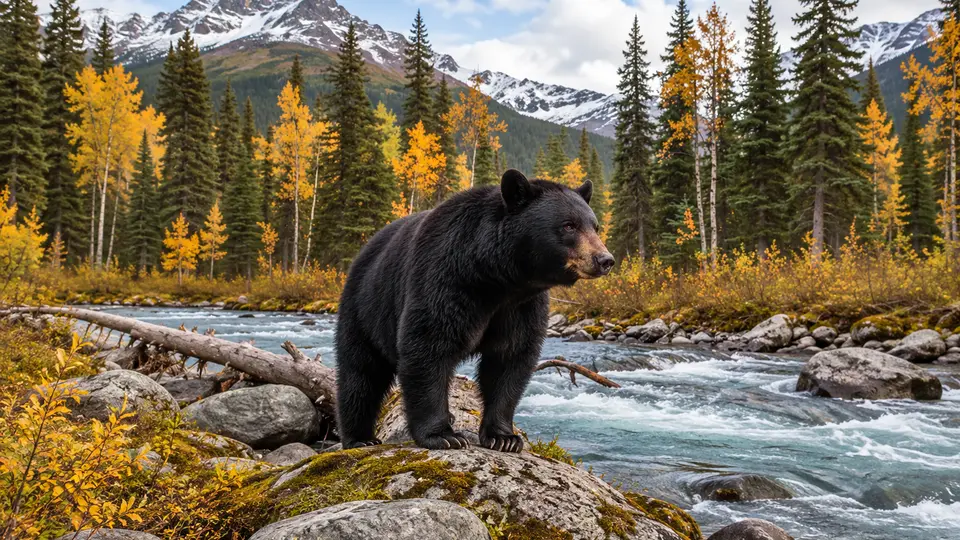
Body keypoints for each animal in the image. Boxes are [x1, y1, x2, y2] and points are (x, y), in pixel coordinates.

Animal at [334, 169, 614, 452]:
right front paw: (443, 435)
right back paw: (360, 437)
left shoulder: (521, 307)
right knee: (361, 374)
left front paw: (504, 437)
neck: (496, 279)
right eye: (569, 225)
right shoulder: (445, 279)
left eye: (594, 226)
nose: (605, 259)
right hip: (365, 308)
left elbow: (510, 359)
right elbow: (427, 346)